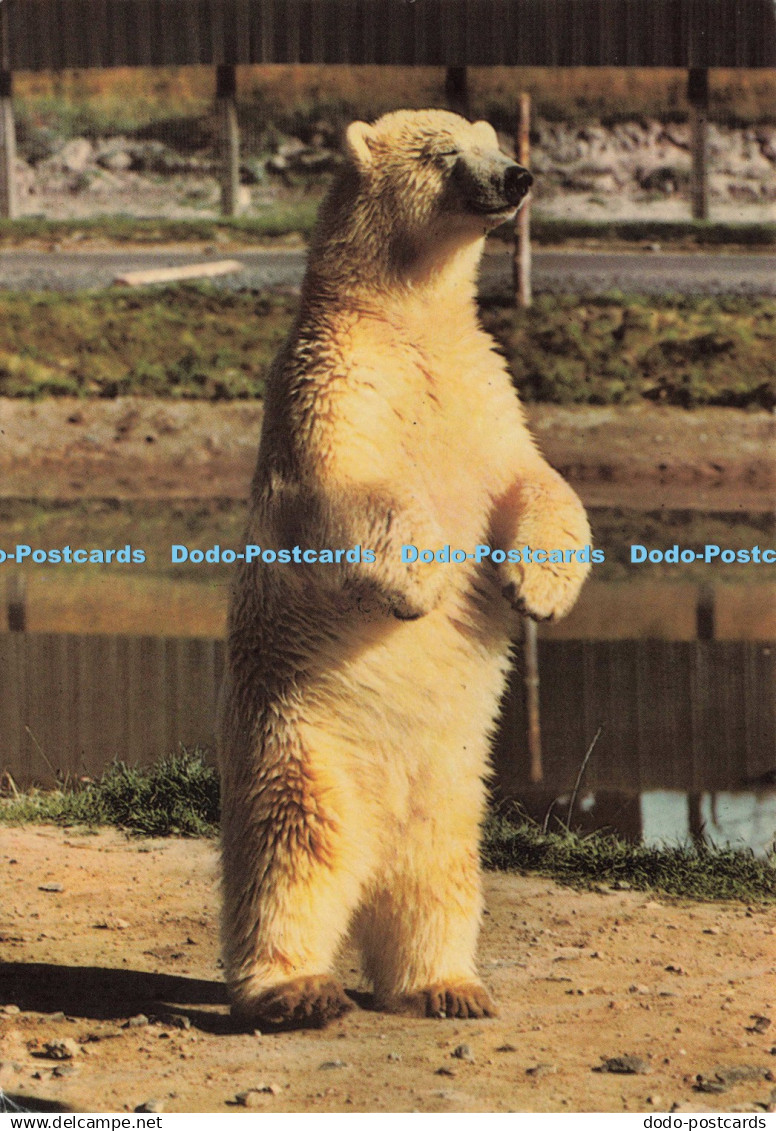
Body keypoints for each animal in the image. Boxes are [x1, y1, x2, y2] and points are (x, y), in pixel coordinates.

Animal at [218, 109, 591, 1030]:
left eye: (491, 142)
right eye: (444, 154)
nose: (517, 176)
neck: (409, 320)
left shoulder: (486, 393)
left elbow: (537, 480)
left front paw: (539, 590)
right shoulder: (334, 377)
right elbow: (348, 482)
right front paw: (420, 587)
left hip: (455, 781)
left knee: (438, 873)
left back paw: (445, 985)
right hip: (300, 739)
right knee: (291, 853)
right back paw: (295, 990)